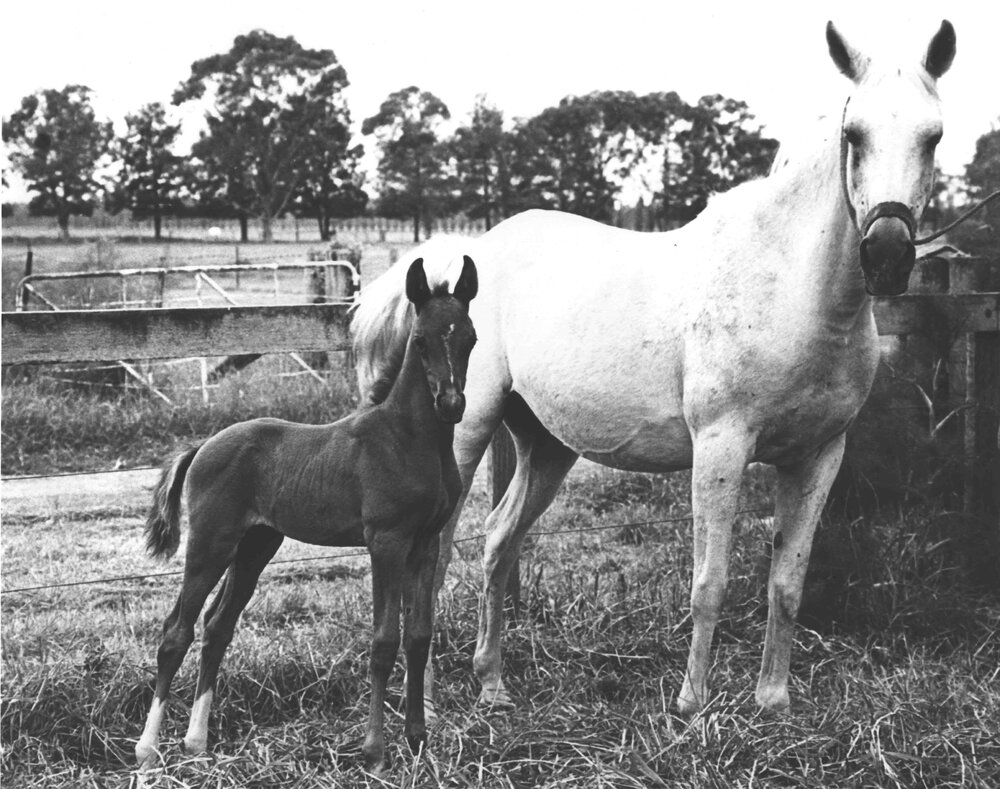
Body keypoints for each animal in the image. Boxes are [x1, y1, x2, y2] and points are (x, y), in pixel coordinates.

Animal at [135, 255, 479, 772]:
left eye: (471, 338)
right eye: (419, 340)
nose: (452, 404)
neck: (409, 439)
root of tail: (201, 448)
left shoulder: (425, 543)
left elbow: (418, 637)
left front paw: (419, 740)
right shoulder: (386, 542)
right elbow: (384, 641)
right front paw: (375, 752)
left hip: (256, 545)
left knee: (217, 628)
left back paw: (196, 741)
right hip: (212, 543)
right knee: (177, 630)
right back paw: (148, 748)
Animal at [351, 20, 956, 716]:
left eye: (934, 136)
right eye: (853, 134)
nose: (886, 256)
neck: (791, 292)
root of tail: (467, 255)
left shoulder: (818, 456)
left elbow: (787, 584)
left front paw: (772, 702)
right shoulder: (720, 448)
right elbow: (709, 583)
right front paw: (692, 706)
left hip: (546, 446)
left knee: (500, 540)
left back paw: (494, 684)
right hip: (468, 430)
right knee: (439, 552)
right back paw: (422, 700)